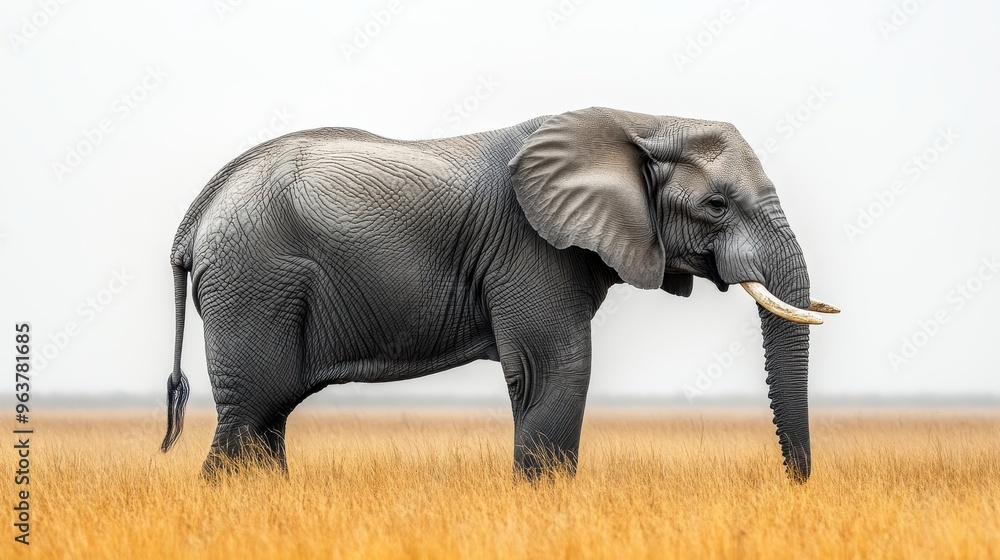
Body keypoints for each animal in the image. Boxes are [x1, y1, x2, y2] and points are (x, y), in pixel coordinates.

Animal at [160, 107, 838, 481]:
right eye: (716, 205)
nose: (796, 485)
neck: (641, 121)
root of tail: (195, 215)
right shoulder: (531, 247)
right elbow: (555, 366)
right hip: (253, 280)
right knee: (254, 408)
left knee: (267, 416)